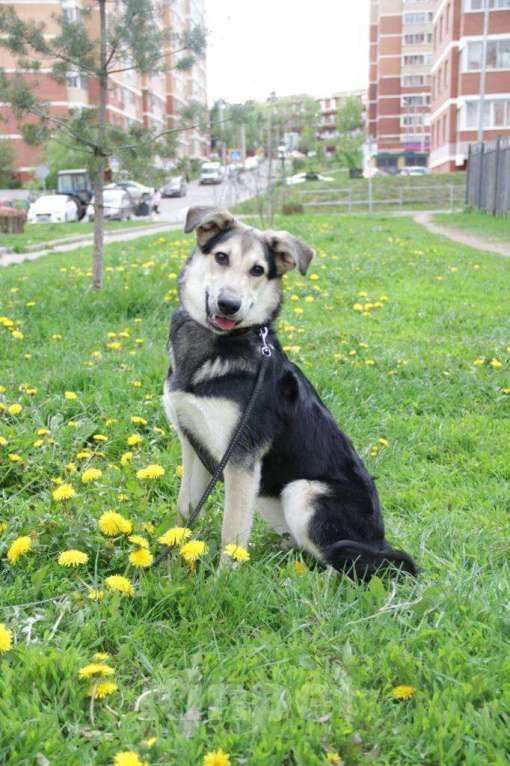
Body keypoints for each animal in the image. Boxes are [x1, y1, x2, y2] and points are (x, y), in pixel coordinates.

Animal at [162, 207, 414, 580]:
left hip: (302, 491)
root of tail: (379, 541)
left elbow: (231, 532)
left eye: (258, 270)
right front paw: (170, 562)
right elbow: (185, 510)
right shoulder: (192, 445)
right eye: (221, 257)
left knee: (345, 565)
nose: (229, 305)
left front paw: (222, 581)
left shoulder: (240, 459)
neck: (218, 345)